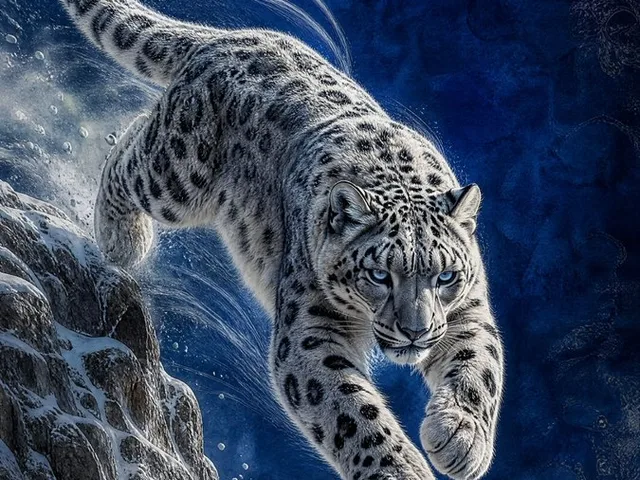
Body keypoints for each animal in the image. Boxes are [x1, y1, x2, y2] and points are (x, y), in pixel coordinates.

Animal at [60, 0, 505, 478]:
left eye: (446, 277)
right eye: (379, 275)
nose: (415, 332)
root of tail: (225, 38)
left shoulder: (469, 309)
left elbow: (480, 364)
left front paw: (461, 437)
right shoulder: (311, 332)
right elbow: (353, 413)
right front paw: (399, 469)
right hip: (178, 178)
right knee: (129, 152)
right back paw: (123, 240)